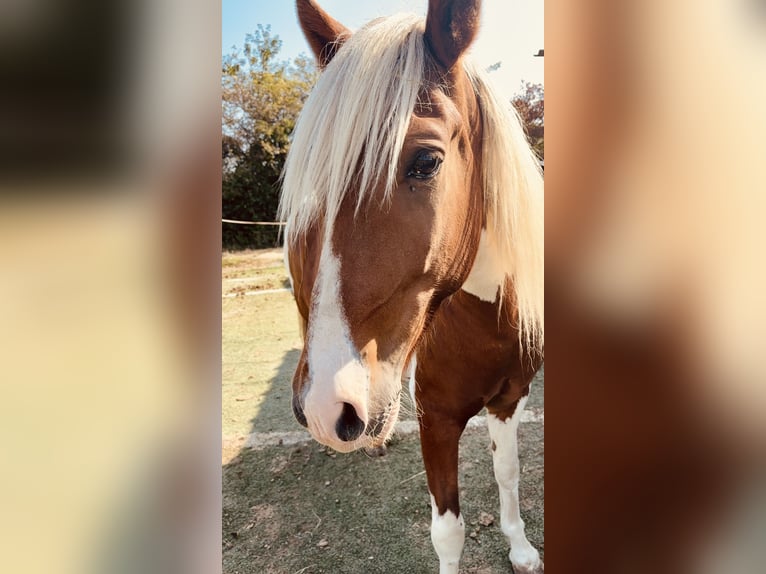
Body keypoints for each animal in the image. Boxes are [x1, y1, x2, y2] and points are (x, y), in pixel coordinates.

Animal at [279, 1, 544, 572]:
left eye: (426, 162)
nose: (328, 406)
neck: (486, 320)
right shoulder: (436, 420)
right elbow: (448, 532)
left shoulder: (510, 398)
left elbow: (508, 474)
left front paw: (520, 546)